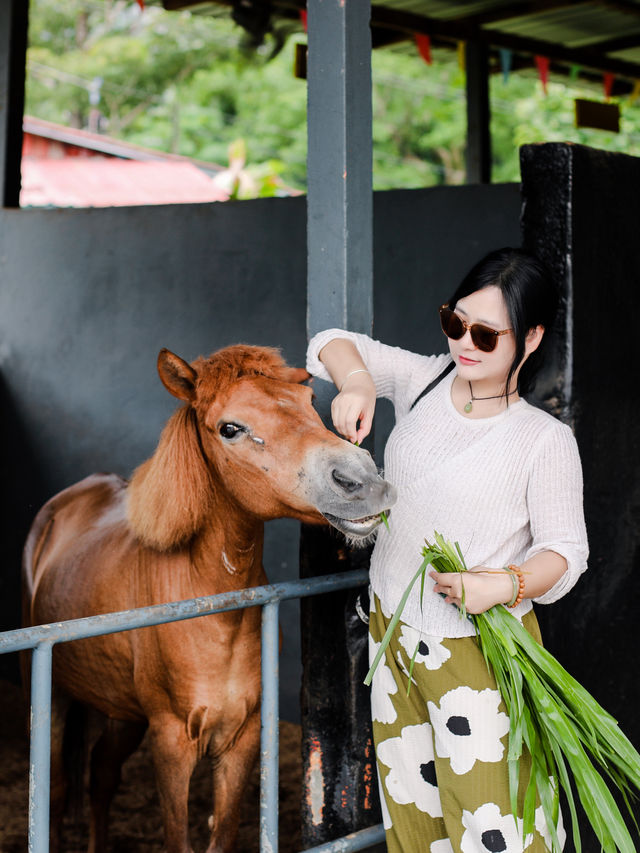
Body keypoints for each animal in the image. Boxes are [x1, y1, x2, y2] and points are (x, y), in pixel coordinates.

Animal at [22, 344, 396, 852]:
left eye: (309, 399)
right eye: (230, 428)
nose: (361, 480)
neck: (214, 613)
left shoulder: (242, 738)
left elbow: (222, 833)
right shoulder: (171, 742)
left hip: (121, 711)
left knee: (101, 775)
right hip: (55, 699)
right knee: (59, 789)